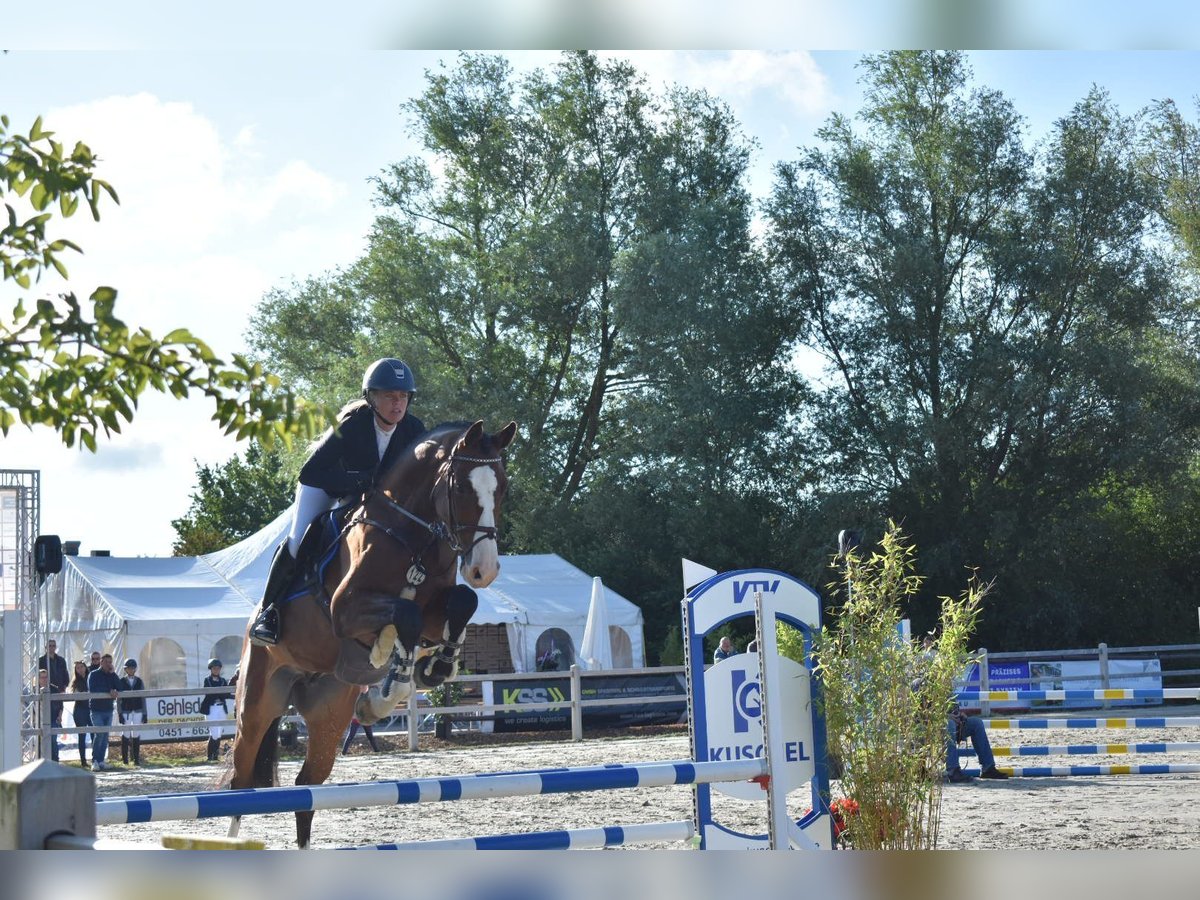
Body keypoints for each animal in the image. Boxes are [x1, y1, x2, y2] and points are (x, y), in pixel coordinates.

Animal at [229, 420, 516, 849]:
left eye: (502, 488)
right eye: (462, 488)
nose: (484, 570)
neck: (410, 535)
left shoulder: (434, 613)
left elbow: (461, 602)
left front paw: (431, 667)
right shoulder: (344, 609)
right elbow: (405, 615)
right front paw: (390, 678)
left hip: (329, 714)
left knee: (306, 787)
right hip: (256, 705)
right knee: (240, 781)